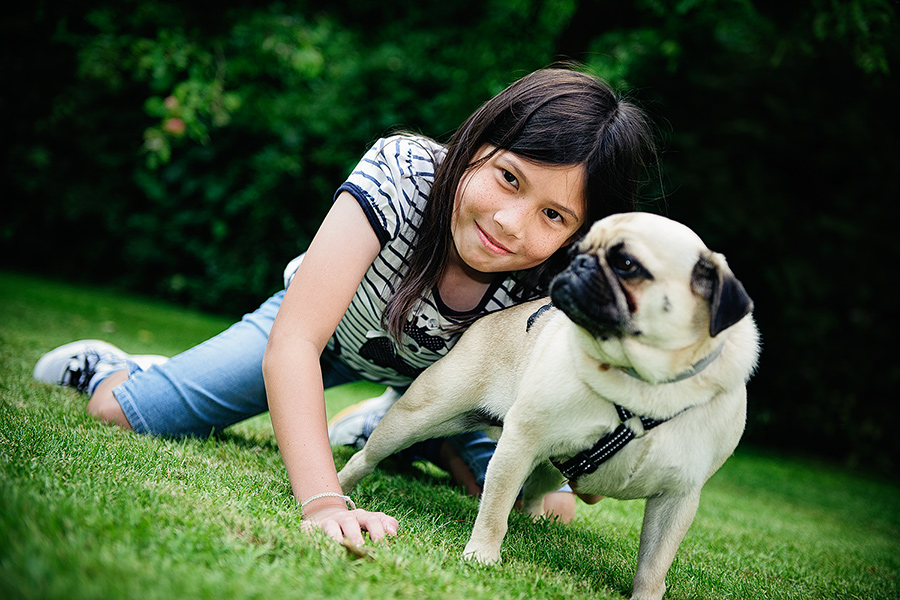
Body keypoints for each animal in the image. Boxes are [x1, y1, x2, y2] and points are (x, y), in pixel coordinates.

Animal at [338, 213, 760, 596]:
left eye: (626, 264)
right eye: (576, 251)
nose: (579, 262)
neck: (642, 385)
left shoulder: (678, 496)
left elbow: (655, 564)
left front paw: (646, 596)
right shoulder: (519, 443)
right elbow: (494, 512)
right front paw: (482, 557)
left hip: (550, 464)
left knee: (536, 492)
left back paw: (536, 524)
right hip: (421, 414)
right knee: (369, 455)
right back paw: (343, 486)